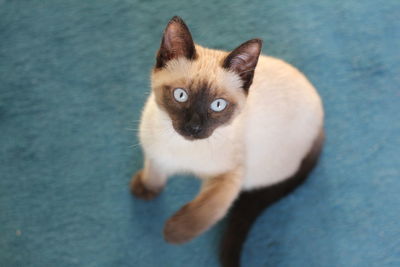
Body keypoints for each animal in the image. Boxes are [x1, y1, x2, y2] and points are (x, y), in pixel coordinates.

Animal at [131, 16, 324, 267]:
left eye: (218, 105)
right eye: (181, 95)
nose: (194, 128)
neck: (180, 150)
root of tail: (322, 120)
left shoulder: (229, 176)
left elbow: (204, 211)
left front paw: (173, 234)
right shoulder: (155, 154)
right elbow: (153, 172)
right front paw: (146, 189)